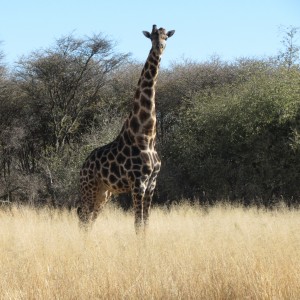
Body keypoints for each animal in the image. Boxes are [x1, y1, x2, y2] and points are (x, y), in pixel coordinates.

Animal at [77, 25, 175, 232]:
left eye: (166, 37)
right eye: (152, 37)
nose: (160, 47)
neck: (146, 136)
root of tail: (83, 165)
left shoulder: (152, 183)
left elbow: (145, 222)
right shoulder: (138, 182)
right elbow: (137, 223)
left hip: (104, 193)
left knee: (90, 218)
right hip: (89, 187)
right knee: (83, 217)